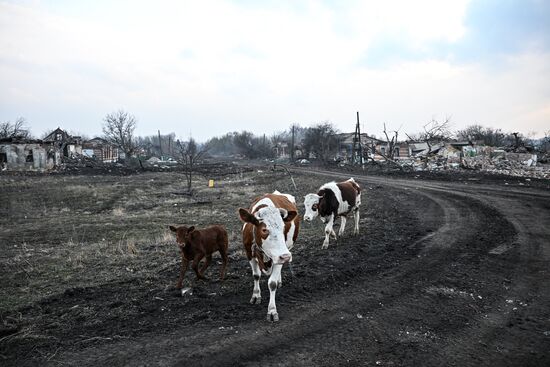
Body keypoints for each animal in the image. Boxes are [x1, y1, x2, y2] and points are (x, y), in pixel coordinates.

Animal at [239, 191, 302, 320]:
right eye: (264, 229)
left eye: (283, 227)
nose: (286, 256)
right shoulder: (249, 253)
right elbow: (256, 275)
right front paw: (256, 295)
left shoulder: (279, 256)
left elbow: (272, 283)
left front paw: (272, 311)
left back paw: (279, 281)